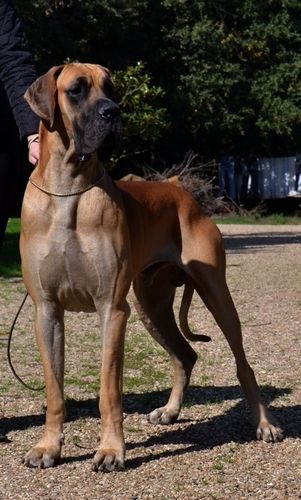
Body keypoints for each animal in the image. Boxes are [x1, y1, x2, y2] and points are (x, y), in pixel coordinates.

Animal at [19, 63, 282, 472]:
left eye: (111, 88)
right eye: (76, 89)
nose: (113, 112)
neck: (68, 188)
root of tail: (181, 190)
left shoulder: (111, 310)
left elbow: (109, 389)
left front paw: (111, 450)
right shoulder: (46, 310)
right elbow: (54, 390)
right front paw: (48, 447)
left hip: (215, 294)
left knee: (243, 364)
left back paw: (265, 424)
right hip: (150, 306)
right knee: (185, 355)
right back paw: (170, 411)